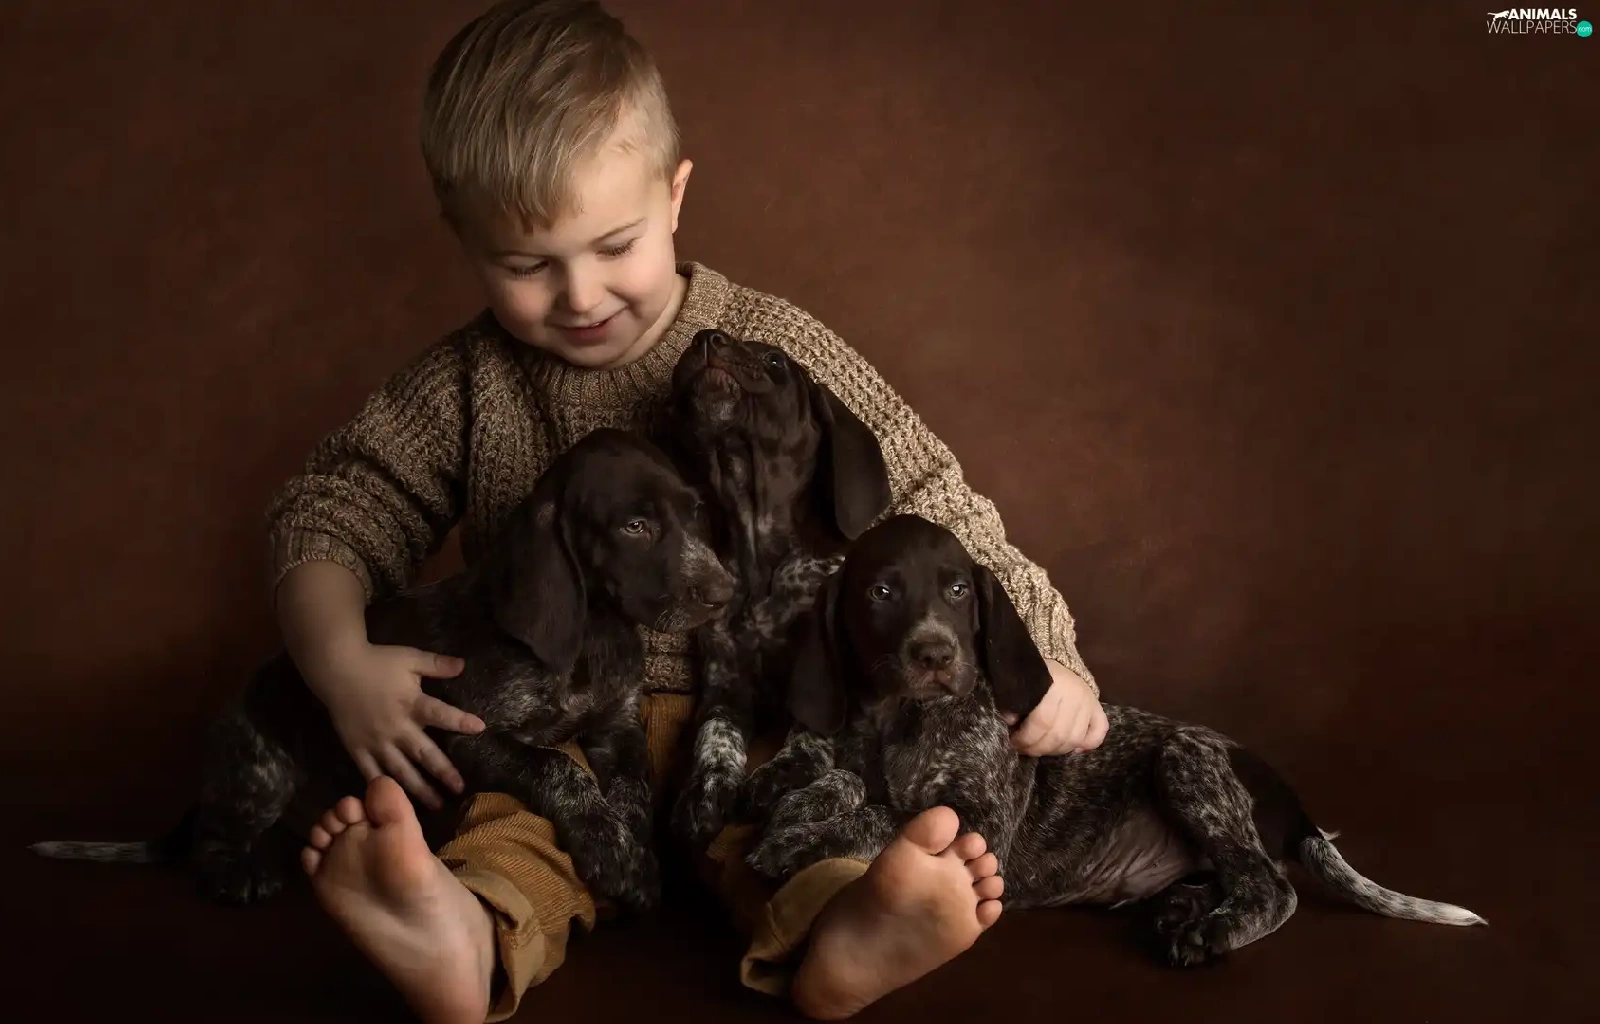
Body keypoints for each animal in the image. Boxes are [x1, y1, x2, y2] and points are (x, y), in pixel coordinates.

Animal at [33, 428, 735, 915]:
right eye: (635, 526)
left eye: (695, 512)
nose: (724, 590)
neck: (590, 635)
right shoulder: (462, 736)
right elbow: (557, 768)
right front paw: (612, 851)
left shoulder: (616, 725)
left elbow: (633, 784)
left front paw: (636, 847)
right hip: (260, 768)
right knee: (212, 839)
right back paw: (238, 874)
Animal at [661, 328, 891, 847]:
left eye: (774, 361)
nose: (706, 337)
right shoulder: (726, 685)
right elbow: (715, 738)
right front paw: (705, 792)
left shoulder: (828, 673)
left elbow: (810, 731)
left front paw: (780, 776)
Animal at [748, 513, 1485, 965]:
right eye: (880, 593)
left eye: (958, 590)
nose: (935, 655)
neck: (902, 722)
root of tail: (1291, 800)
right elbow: (842, 778)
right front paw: (793, 794)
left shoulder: (979, 821)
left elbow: (884, 815)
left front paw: (798, 840)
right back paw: (1182, 906)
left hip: (1189, 761)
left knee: (1272, 886)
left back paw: (1210, 931)